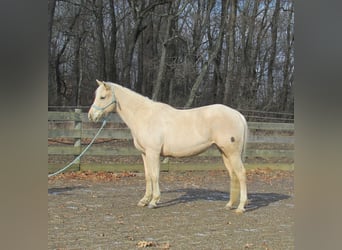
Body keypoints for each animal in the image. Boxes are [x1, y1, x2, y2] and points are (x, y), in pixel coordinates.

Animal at [88, 80, 248, 213]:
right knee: (233, 175)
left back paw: (240, 207)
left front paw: (154, 201)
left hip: (232, 153)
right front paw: (144, 200)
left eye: (102, 97)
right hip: (225, 152)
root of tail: (238, 115)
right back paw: (229, 205)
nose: (91, 116)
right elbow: (147, 176)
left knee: (241, 174)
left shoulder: (153, 153)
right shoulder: (144, 154)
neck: (144, 116)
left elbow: (154, 176)